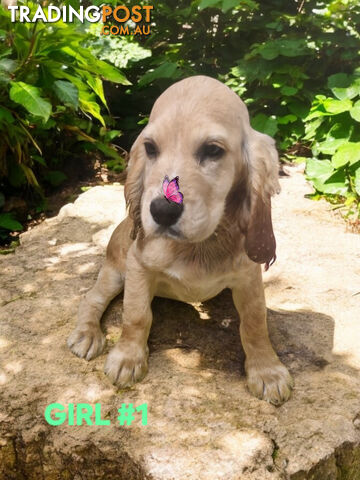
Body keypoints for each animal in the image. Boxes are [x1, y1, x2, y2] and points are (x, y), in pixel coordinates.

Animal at [67, 75, 292, 404]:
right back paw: (87, 334)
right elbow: (136, 315)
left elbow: (254, 322)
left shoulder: (248, 277)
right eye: (150, 148)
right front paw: (127, 358)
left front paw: (267, 371)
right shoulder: (138, 266)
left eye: (213, 150)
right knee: (91, 298)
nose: (162, 210)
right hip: (115, 270)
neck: (198, 246)